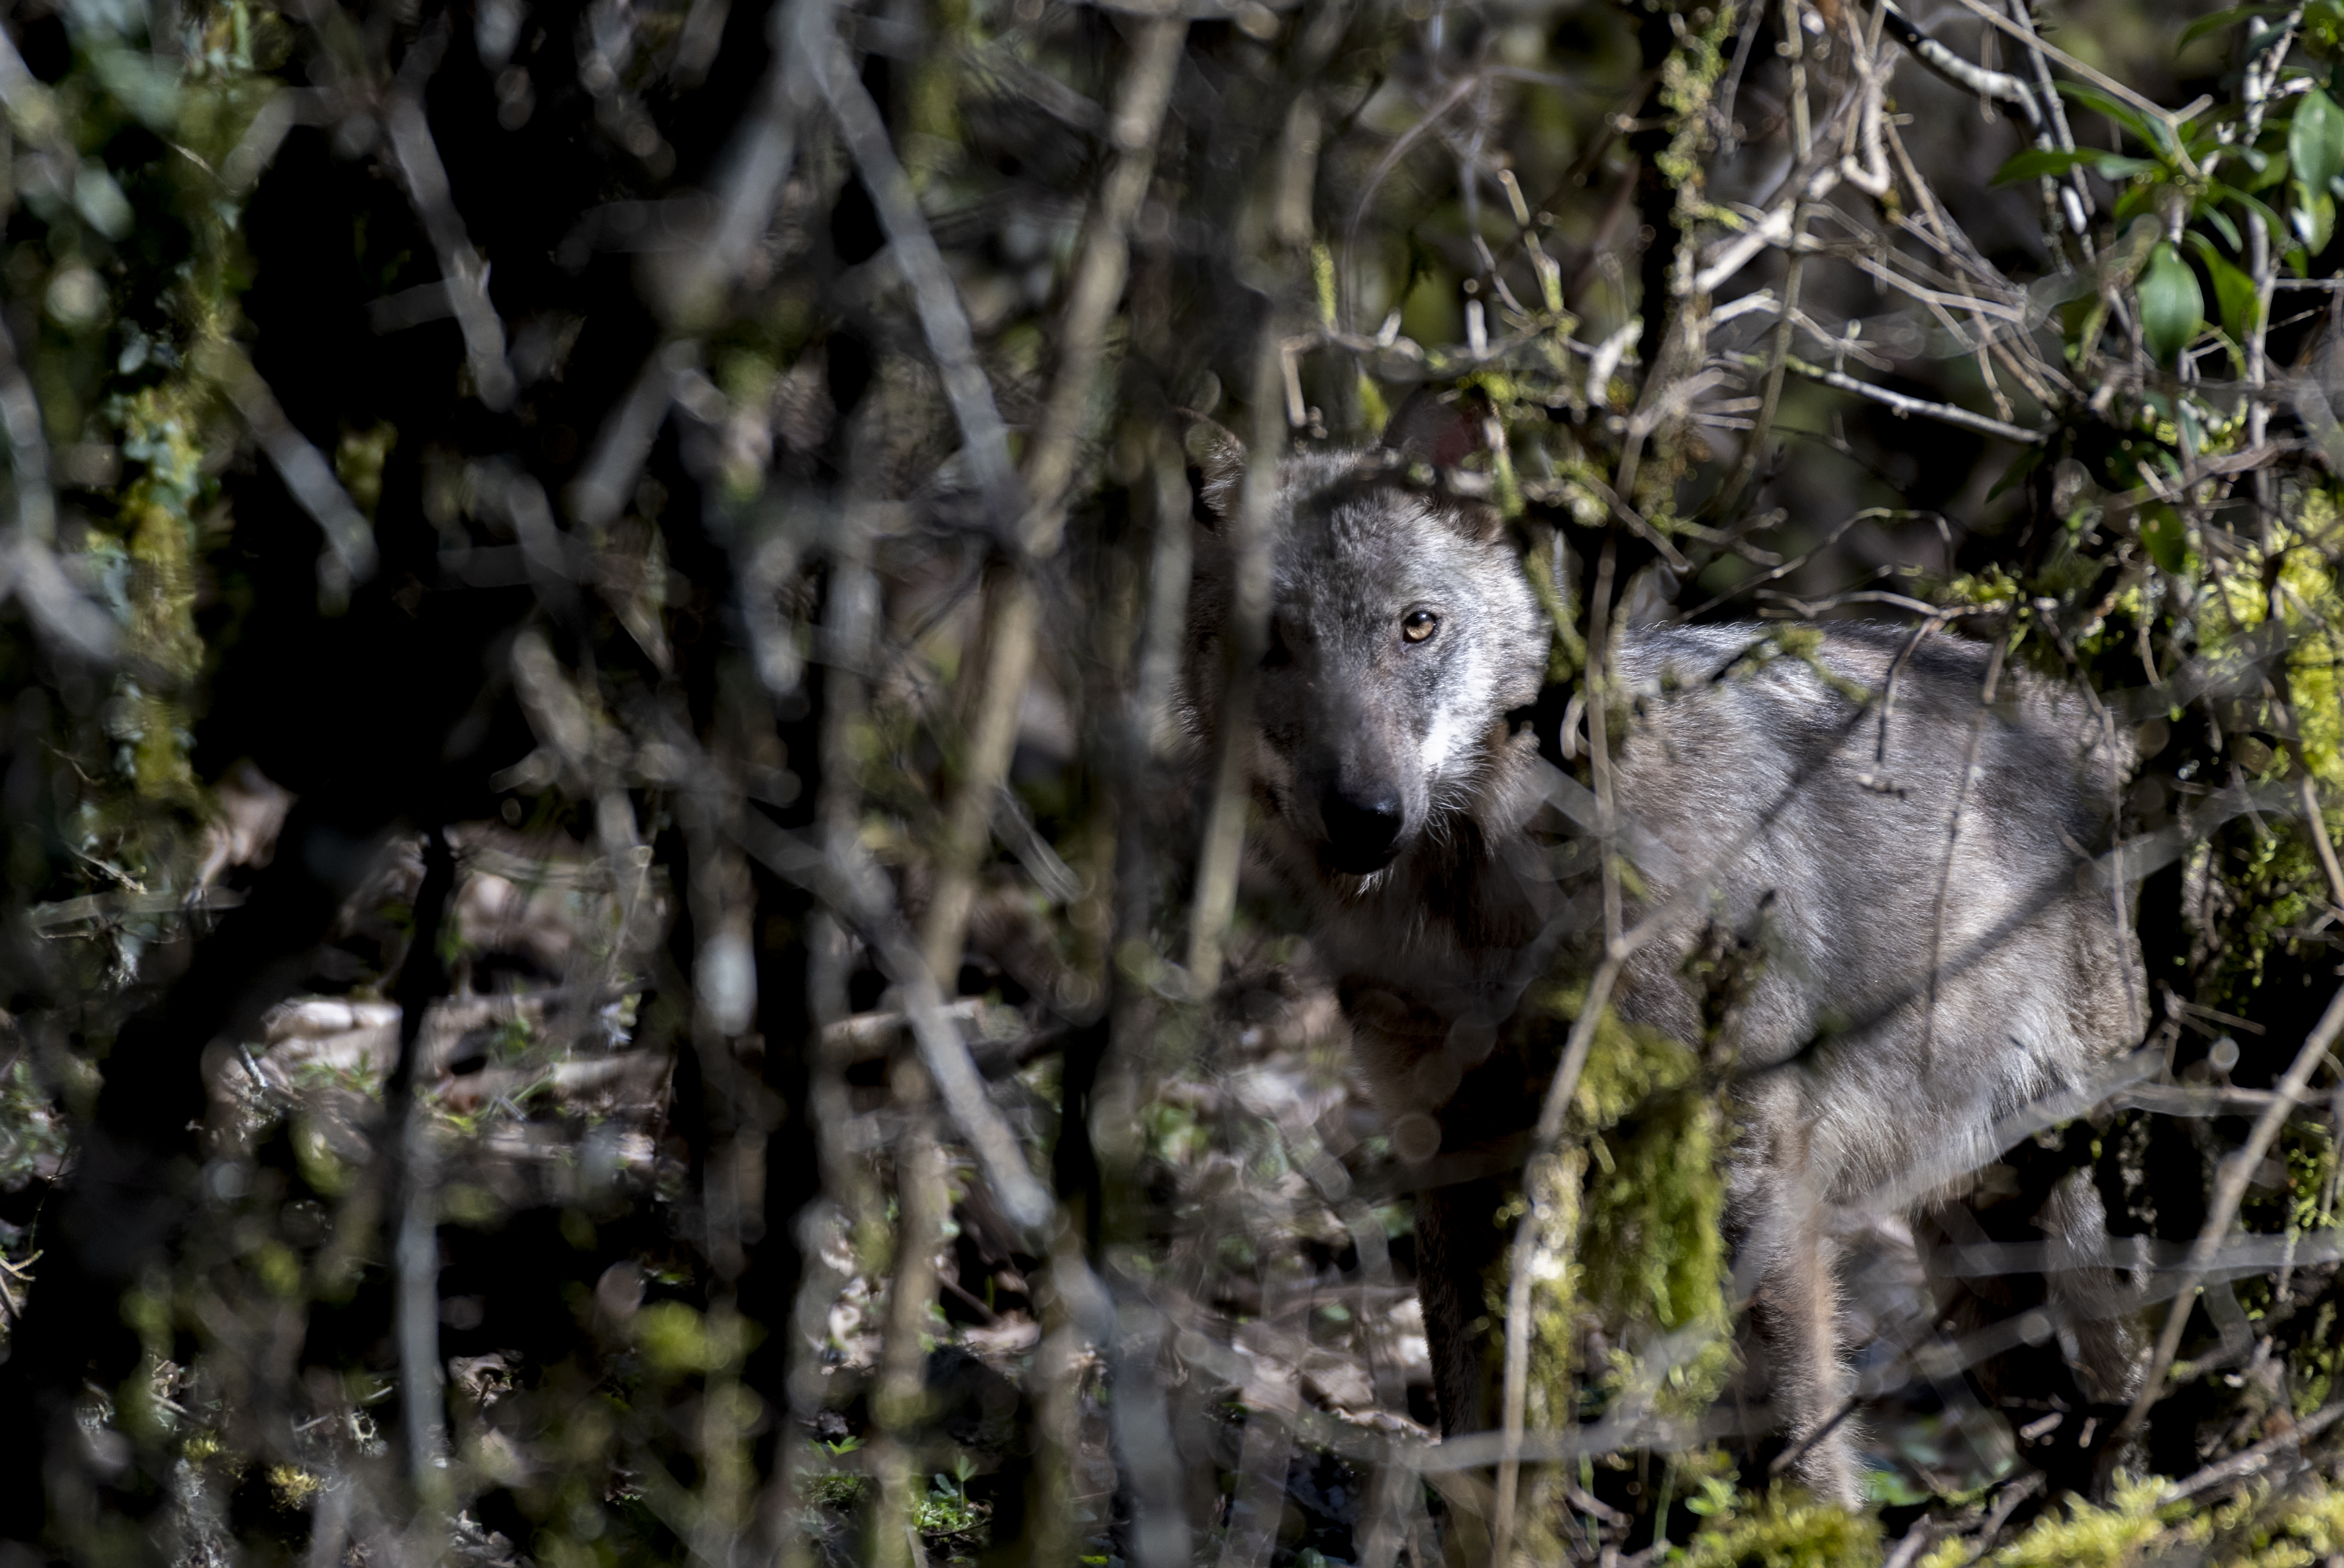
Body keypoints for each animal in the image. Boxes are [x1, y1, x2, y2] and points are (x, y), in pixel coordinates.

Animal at [1177, 417, 2145, 1507]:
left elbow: (1793, 1418)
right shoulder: (1461, 1155)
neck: (1483, 904)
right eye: (1274, 640)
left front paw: (1814, 1530)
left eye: (1415, 627)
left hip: (2077, 1241)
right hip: (1983, 1273)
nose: (1365, 816)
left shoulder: (1742, 1154)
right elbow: (1481, 1429)